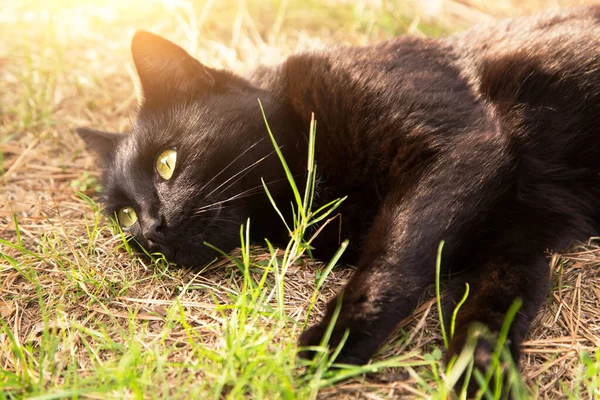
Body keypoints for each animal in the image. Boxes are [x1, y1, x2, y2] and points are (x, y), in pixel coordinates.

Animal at [77, 5, 600, 390]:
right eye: (124, 216)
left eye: (166, 162)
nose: (150, 229)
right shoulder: (513, 244)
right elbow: (486, 316)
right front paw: (480, 376)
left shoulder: (464, 148)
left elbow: (392, 254)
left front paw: (337, 337)